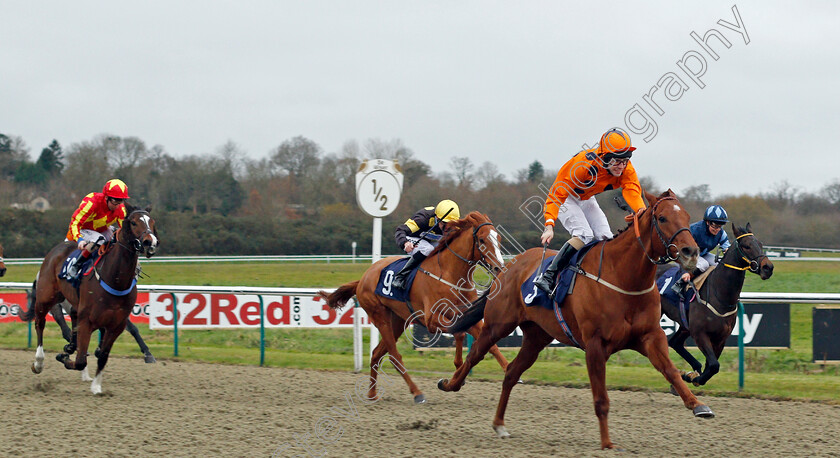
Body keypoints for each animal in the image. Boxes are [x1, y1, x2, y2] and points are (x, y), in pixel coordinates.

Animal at [17, 204, 159, 394]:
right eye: (135, 222)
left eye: (152, 222)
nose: (151, 242)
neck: (114, 278)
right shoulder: (88, 319)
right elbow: (80, 359)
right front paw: (66, 358)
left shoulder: (116, 322)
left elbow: (105, 352)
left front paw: (97, 386)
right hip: (47, 300)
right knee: (41, 324)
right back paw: (39, 362)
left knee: (71, 330)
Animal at [318, 213, 508, 402]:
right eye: (482, 239)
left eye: (498, 238)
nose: (499, 268)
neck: (450, 274)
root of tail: (364, 277)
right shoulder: (431, 320)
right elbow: (459, 333)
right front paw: (457, 370)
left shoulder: (469, 316)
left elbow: (490, 345)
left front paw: (507, 370)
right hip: (379, 316)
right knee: (394, 356)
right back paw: (417, 393)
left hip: (398, 320)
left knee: (377, 353)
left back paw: (372, 393)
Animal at [436, 191, 712, 450]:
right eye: (662, 218)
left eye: (687, 216)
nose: (691, 252)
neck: (622, 278)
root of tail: (509, 265)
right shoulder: (595, 345)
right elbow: (601, 399)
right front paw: (607, 443)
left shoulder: (650, 336)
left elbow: (671, 371)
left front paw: (697, 404)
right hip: (498, 324)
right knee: (476, 354)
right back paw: (450, 383)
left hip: (537, 337)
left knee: (512, 372)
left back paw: (499, 424)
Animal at [664, 222, 776, 386]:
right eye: (746, 246)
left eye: (760, 244)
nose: (768, 267)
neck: (719, 295)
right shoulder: (700, 333)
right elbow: (714, 365)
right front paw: (695, 377)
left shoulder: (721, 337)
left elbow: (712, 366)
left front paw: (691, 376)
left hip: (685, 325)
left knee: (675, 342)